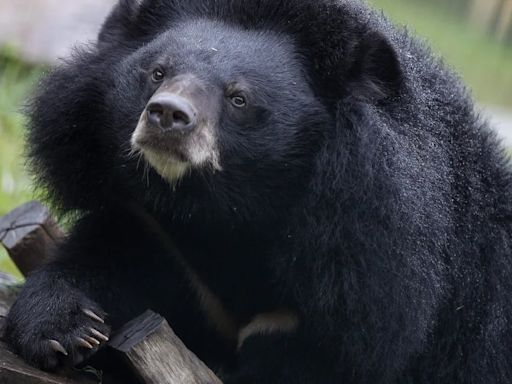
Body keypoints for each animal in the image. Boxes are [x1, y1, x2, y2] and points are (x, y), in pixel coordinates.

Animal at [4, 0, 512, 382]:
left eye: (239, 98)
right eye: (157, 72)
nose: (167, 115)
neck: (226, 214)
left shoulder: (365, 273)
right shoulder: (162, 237)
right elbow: (106, 259)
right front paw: (66, 329)